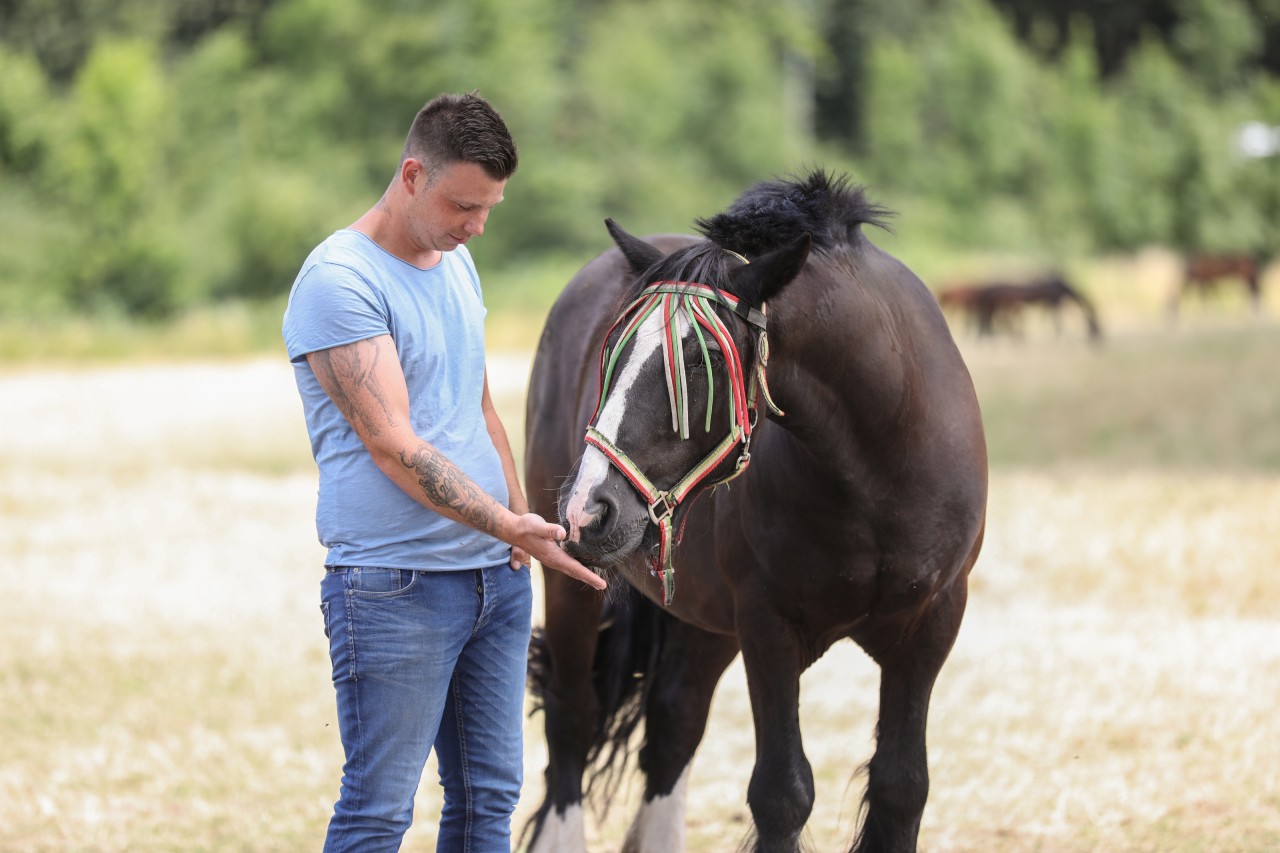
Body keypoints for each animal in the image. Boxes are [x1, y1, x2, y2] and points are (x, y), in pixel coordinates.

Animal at [519, 169, 988, 845]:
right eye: (612, 355)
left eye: (703, 359)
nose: (587, 509)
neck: (876, 472)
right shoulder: (768, 629)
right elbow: (782, 795)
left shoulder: (931, 624)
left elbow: (902, 787)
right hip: (572, 588)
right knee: (572, 723)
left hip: (704, 620)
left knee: (674, 724)